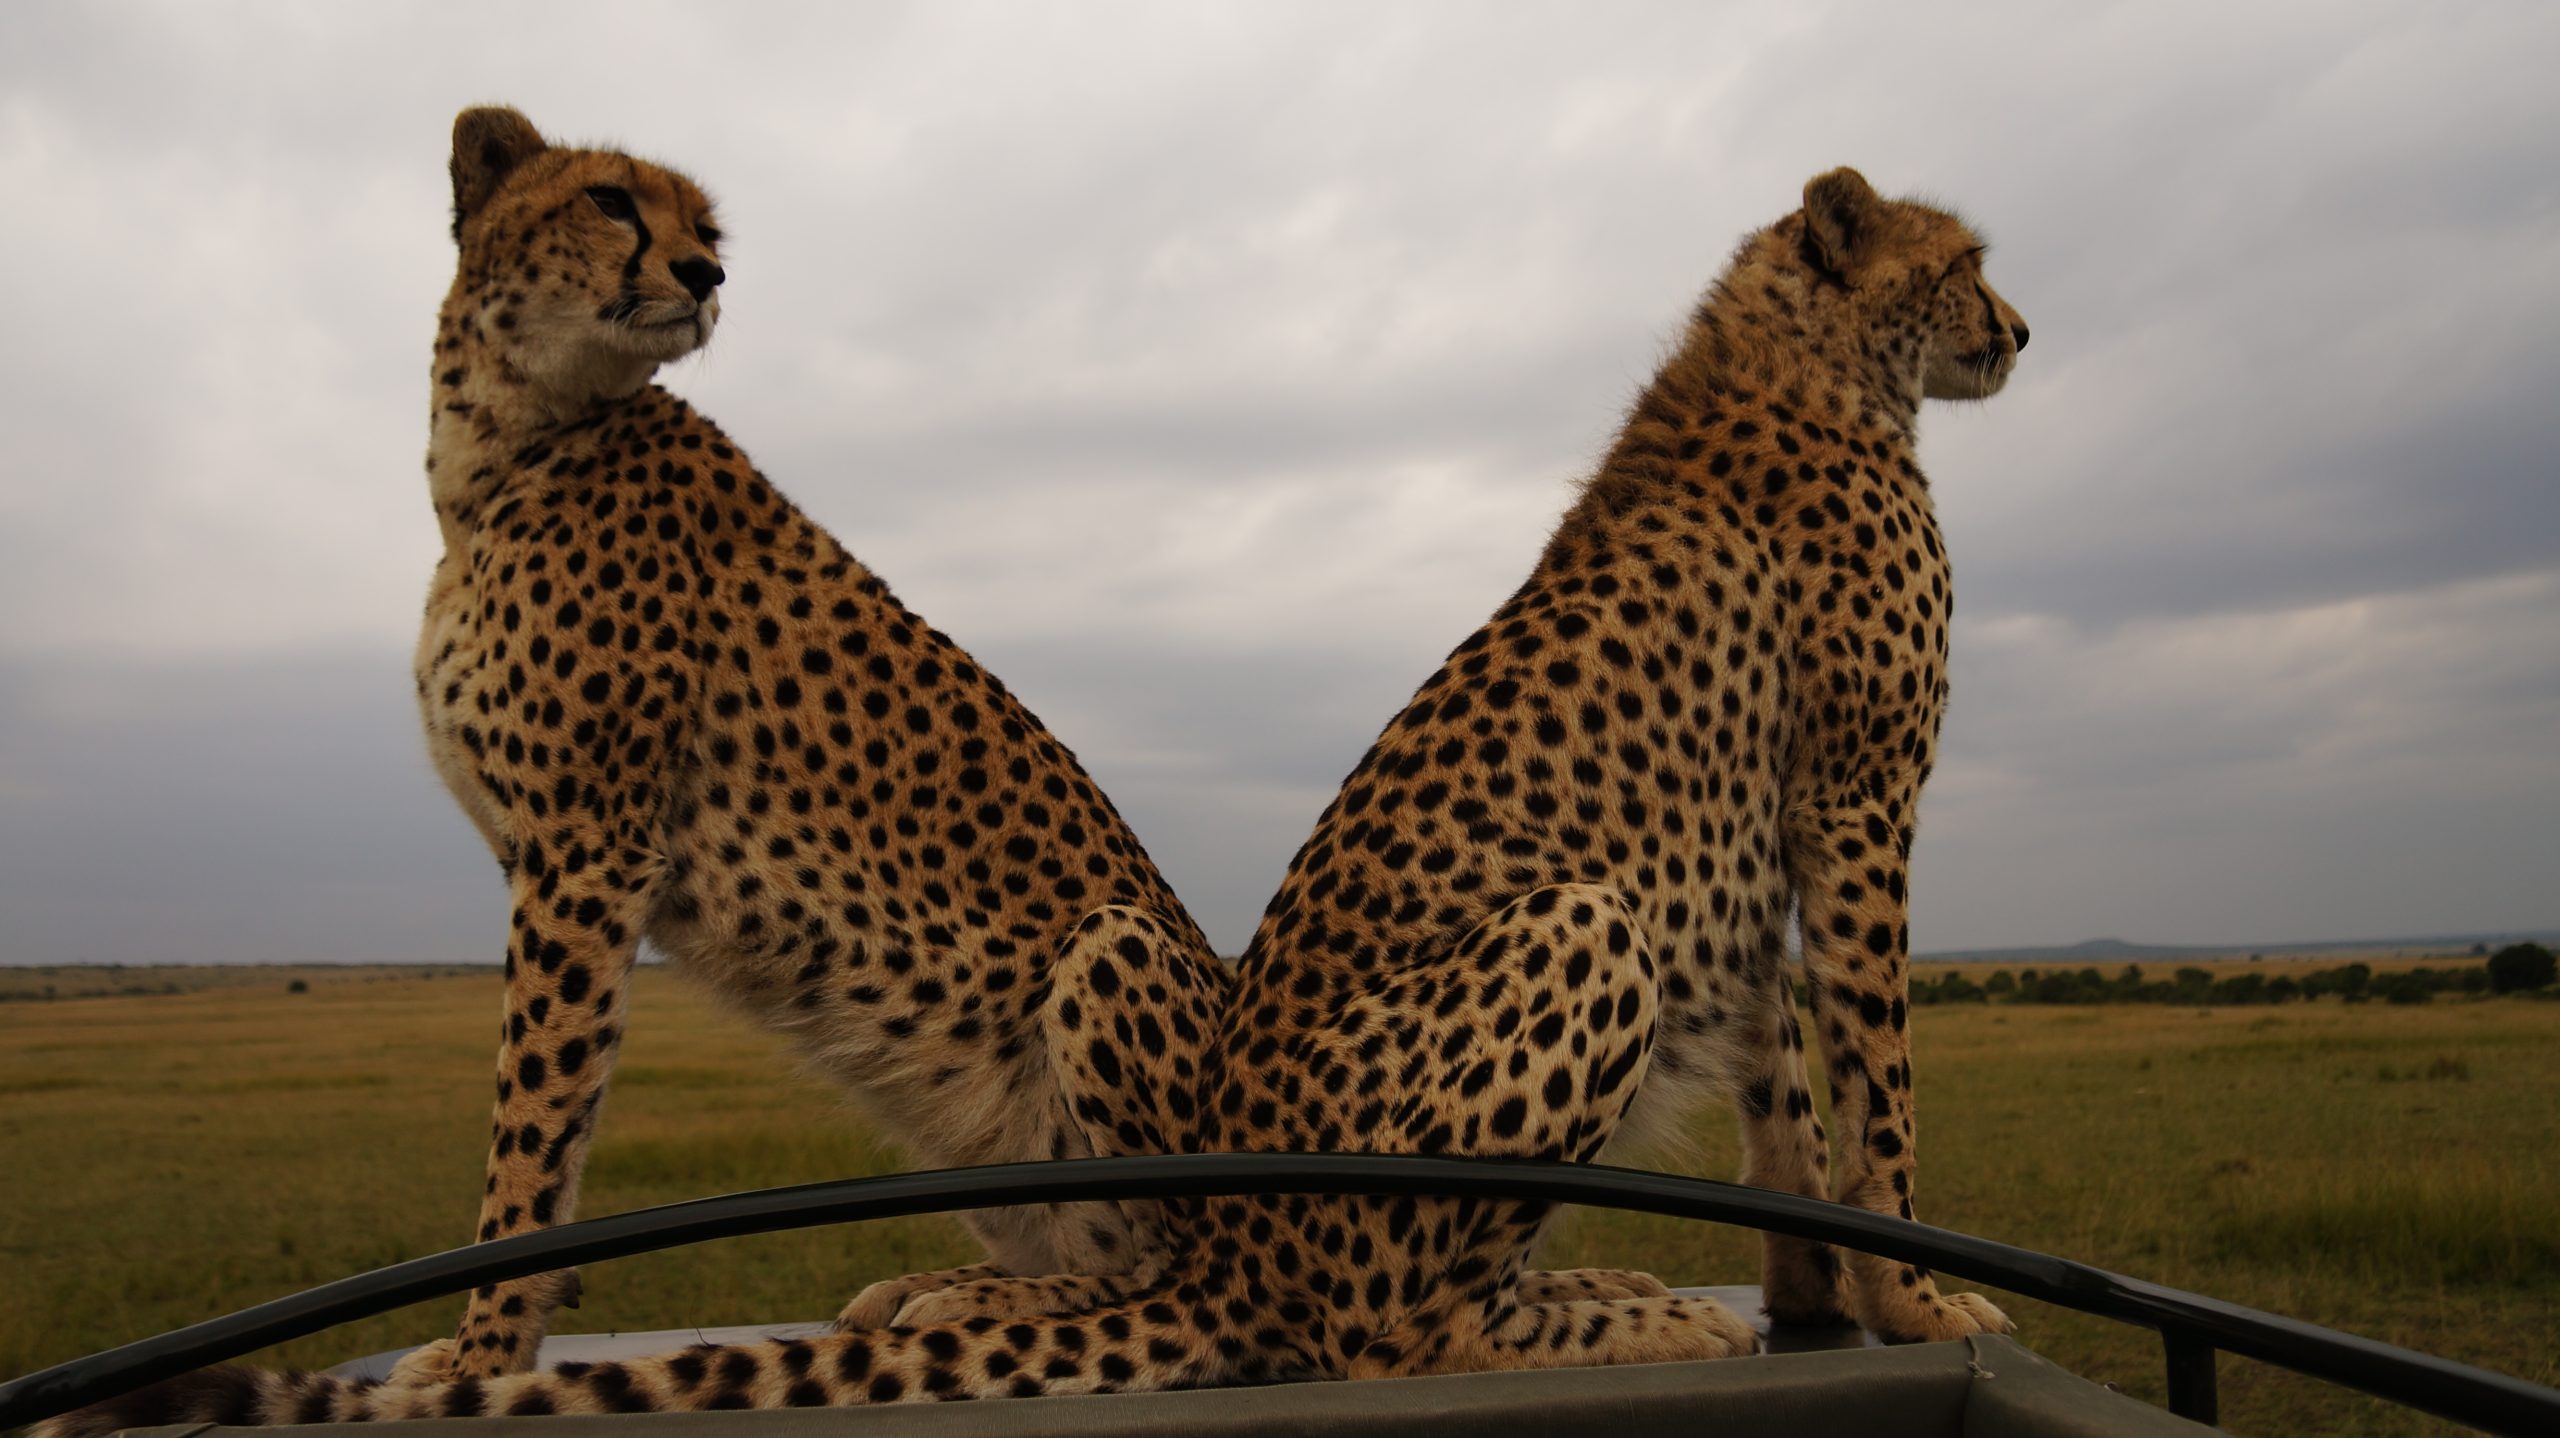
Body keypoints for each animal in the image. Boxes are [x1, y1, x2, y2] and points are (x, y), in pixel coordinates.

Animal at [34, 164, 2025, 1431]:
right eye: (1968, 261)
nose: (2016, 326)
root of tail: (1247, 1247)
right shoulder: (1856, 800)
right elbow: (1878, 1076)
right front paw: (1915, 1296)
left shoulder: (1801, 819)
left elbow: (1803, 1079)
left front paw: (1839, 1297)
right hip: (1542, 934)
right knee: (1372, 1333)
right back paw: (1605, 1315)